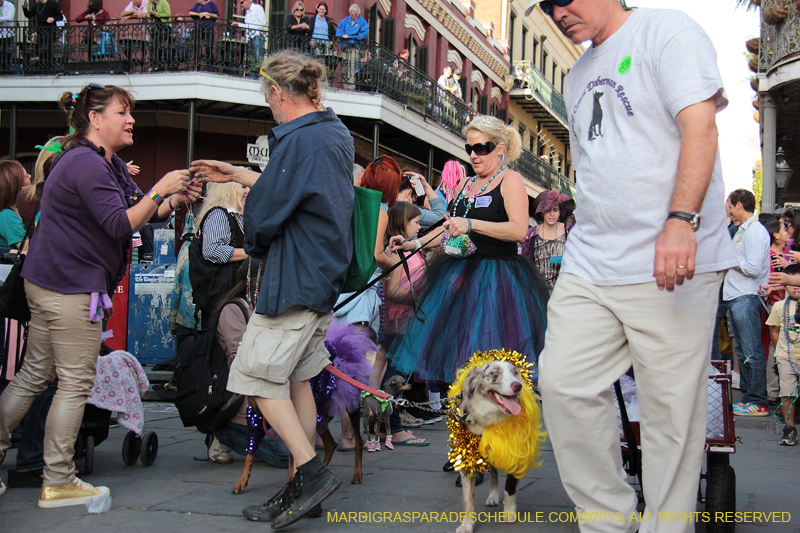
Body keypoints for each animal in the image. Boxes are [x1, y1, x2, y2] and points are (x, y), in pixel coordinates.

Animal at [446, 350, 548, 532]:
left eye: (515, 373)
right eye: (494, 374)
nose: (517, 386)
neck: (489, 419)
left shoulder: (515, 450)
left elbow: (510, 487)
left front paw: (509, 513)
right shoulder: (467, 456)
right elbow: (467, 497)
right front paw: (466, 524)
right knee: (493, 471)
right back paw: (493, 496)